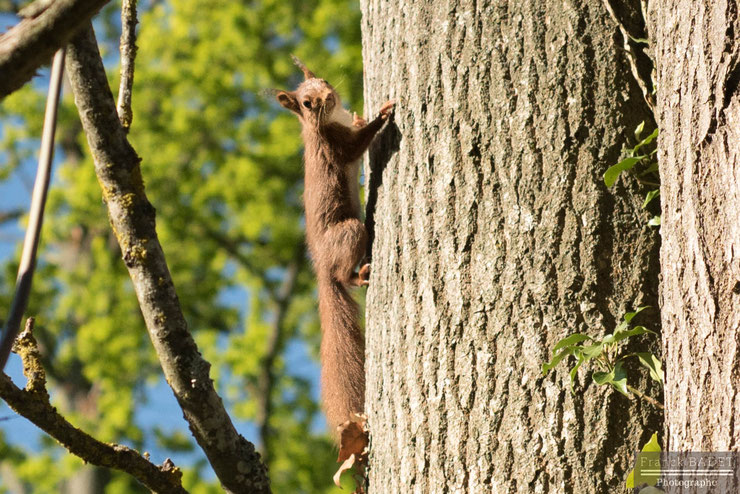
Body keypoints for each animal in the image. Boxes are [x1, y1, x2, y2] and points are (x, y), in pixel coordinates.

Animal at [276, 57, 396, 436]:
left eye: (325, 81)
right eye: (306, 103)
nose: (327, 97)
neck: (328, 123)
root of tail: (321, 267)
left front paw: (361, 115)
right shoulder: (337, 145)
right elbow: (358, 145)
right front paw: (382, 115)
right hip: (351, 233)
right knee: (345, 274)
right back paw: (359, 275)